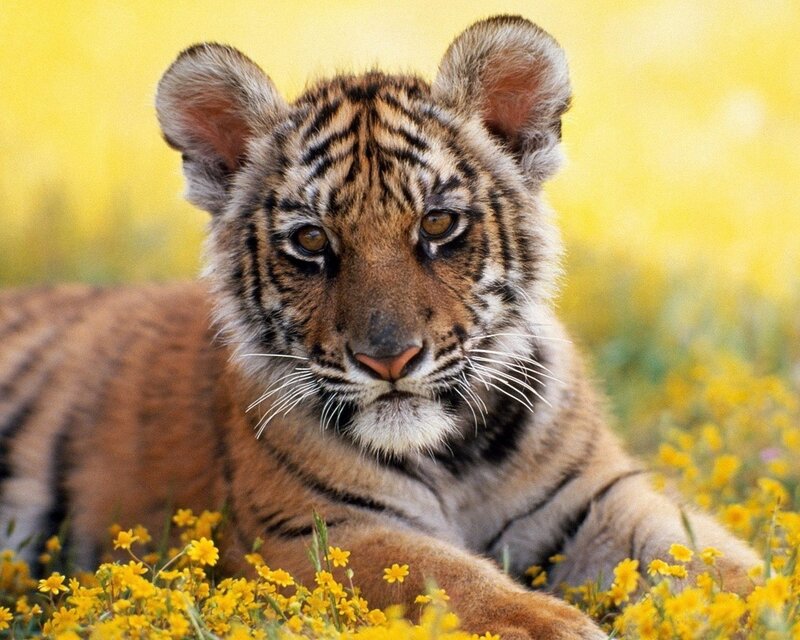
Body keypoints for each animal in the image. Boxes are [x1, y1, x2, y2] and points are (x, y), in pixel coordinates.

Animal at [0, 15, 760, 639]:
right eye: (311, 240)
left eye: (438, 224)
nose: (389, 360)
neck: (458, 456)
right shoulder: (323, 529)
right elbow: (452, 578)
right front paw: (558, 627)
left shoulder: (599, 498)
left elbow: (715, 561)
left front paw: (761, 602)